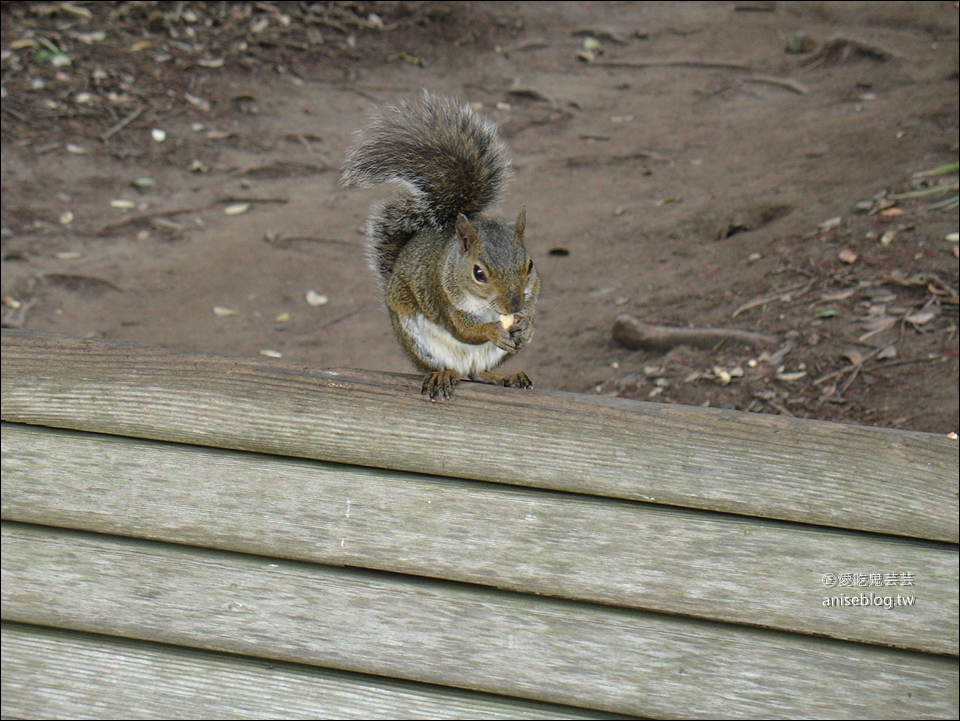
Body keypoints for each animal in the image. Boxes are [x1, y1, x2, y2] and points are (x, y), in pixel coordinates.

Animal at [342, 91, 540, 400]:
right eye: (478, 273)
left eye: (529, 265)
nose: (513, 306)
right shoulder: (441, 295)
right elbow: (463, 330)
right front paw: (493, 331)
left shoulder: (532, 292)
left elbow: (530, 311)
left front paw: (527, 328)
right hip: (418, 342)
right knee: (449, 369)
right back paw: (442, 376)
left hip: (491, 358)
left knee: (479, 374)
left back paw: (507, 377)